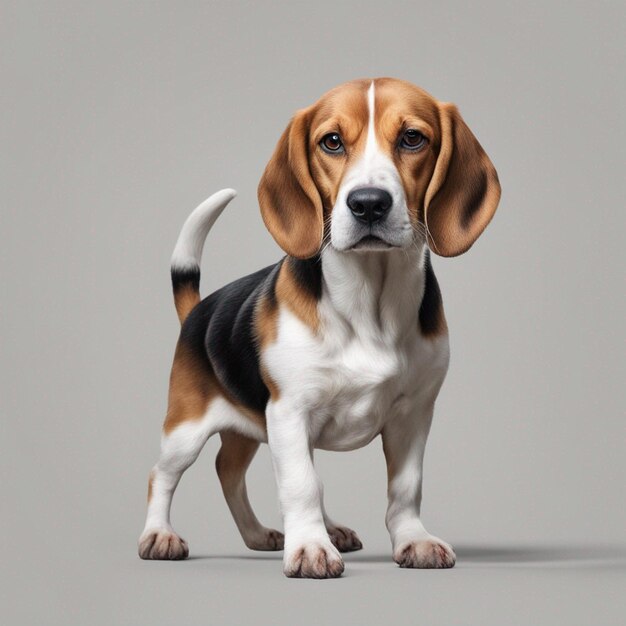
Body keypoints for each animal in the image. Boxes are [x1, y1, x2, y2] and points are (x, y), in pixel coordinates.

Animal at [136, 77, 498, 576]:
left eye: (412, 138)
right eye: (331, 142)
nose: (368, 205)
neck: (369, 300)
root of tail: (198, 310)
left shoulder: (413, 414)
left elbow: (405, 487)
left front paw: (413, 540)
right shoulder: (290, 410)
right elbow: (301, 485)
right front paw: (309, 548)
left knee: (230, 470)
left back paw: (267, 534)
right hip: (186, 429)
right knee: (164, 475)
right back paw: (159, 535)